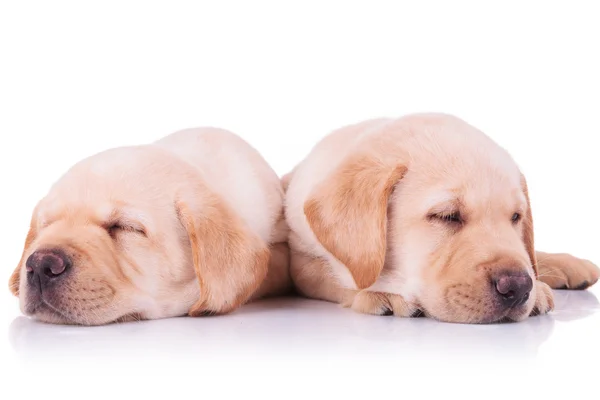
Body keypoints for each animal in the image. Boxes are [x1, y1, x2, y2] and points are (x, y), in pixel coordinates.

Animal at [286, 111, 600, 322]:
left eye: (515, 217)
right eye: (447, 216)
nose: (519, 287)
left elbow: (530, 253)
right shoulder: (300, 259)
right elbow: (336, 276)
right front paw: (386, 292)